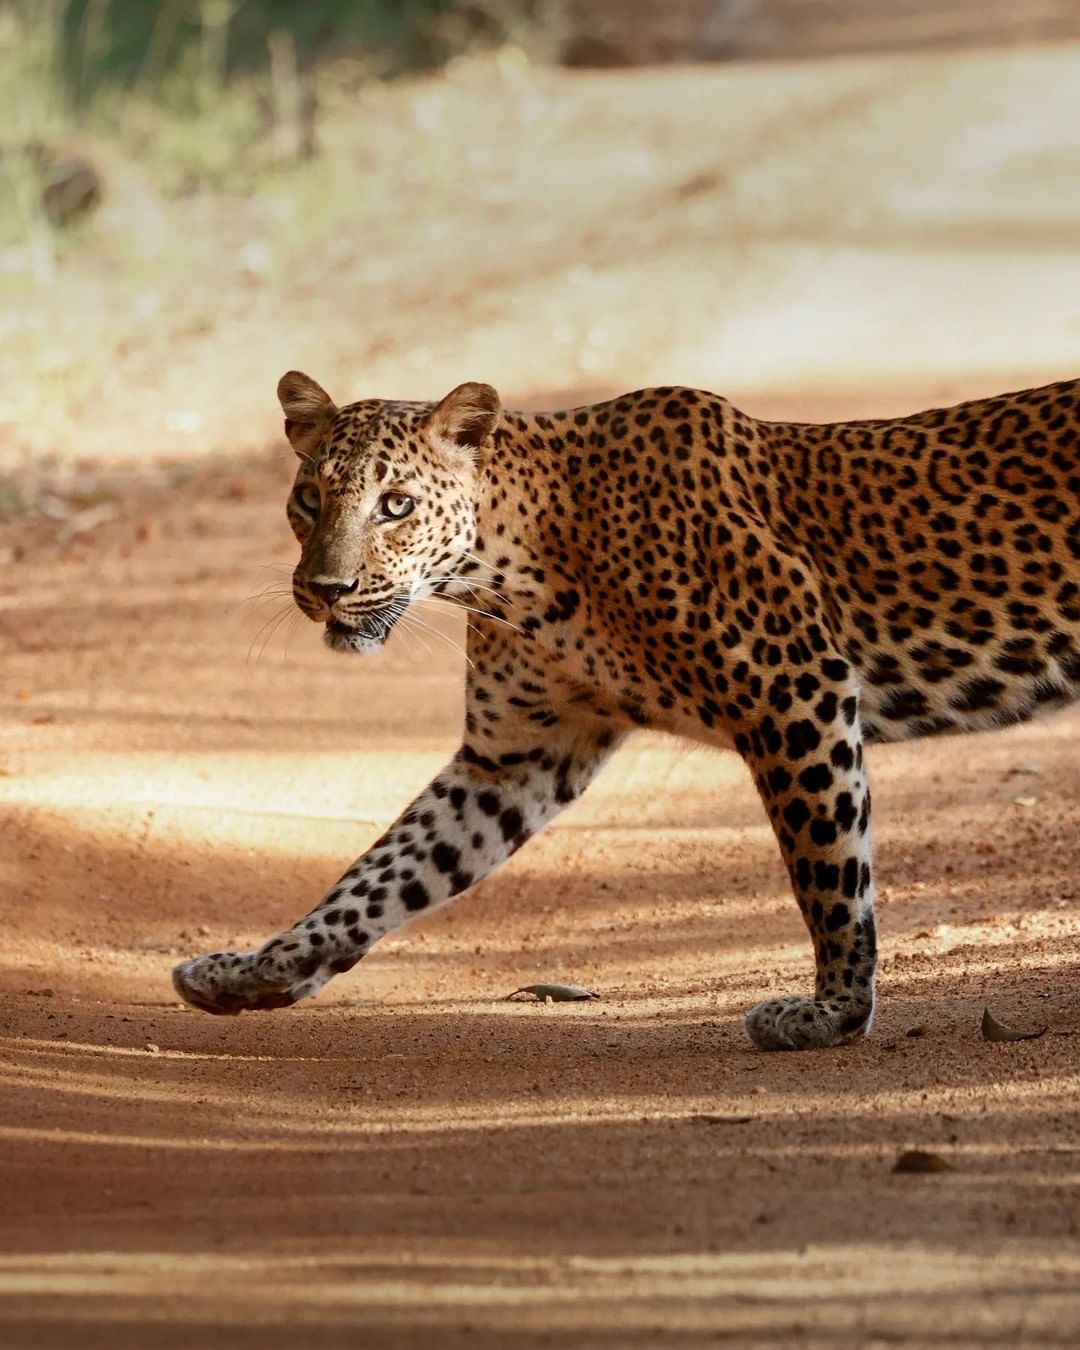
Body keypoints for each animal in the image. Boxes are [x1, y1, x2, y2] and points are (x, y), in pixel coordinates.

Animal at [172, 372, 1080, 1053]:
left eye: (395, 504)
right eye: (307, 498)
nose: (323, 590)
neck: (513, 565)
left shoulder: (795, 687)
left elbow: (828, 870)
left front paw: (832, 1012)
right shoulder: (515, 758)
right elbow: (382, 875)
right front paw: (253, 970)